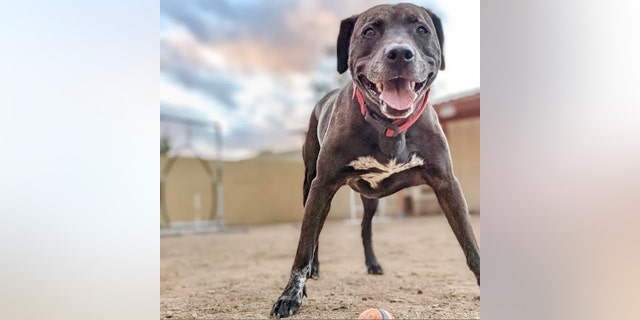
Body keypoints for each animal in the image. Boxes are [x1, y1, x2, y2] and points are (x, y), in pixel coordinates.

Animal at [270, 3, 480, 318]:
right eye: (369, 31)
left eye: (421, 29)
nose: (400, 54)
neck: (389, 127)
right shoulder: (323, 185)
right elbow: (304, 246)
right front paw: (290, 294)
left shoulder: (446, 183)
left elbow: (469, 242)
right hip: (310, 186)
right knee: (315, 233)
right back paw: (315, 269)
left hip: (371, 199)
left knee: (365, 229)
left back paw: (372, 264)